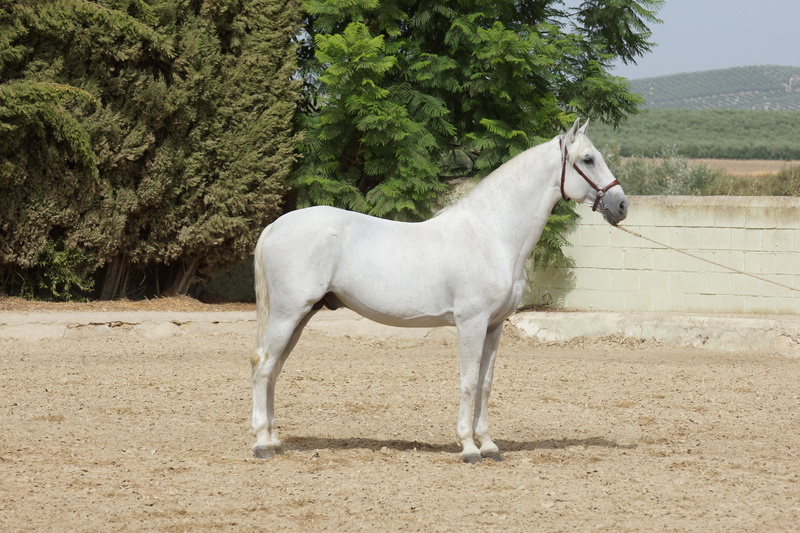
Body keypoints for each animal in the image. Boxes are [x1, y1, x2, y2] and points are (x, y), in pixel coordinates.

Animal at [250, 118, 627, 463]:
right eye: (588, 159)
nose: (621, 205)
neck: (492, 234)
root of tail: (275, 226)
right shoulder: (471, 323)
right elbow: (468, 381)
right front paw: (469, 447)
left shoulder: (494, 326)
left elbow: (486, 384)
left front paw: (488, 445)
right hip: (287, 315)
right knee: (264, 365)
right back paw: (262, 444)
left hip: (300, 317)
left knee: (274, 369)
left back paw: (274, 439)